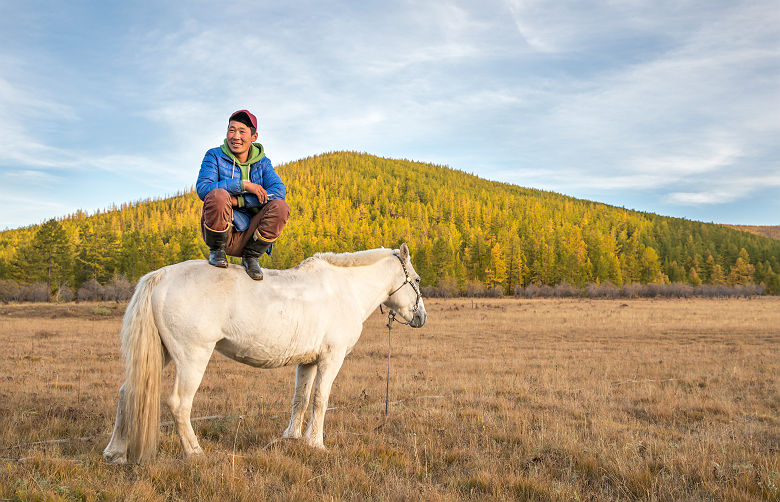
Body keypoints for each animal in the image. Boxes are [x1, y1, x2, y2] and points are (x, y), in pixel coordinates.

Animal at [103, 243, 426, 462]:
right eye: (418, 280)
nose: (421, 317)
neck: (345, 289)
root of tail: (161, 276)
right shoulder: (331, 359)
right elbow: (320, 400)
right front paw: (316, 444)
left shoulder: (308, 362)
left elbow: (300, 400)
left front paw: (292, 438)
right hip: (192, 357)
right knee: (179, 404)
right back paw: (195, 452)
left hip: (163, 354)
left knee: (127, 392)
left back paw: (115, 452)